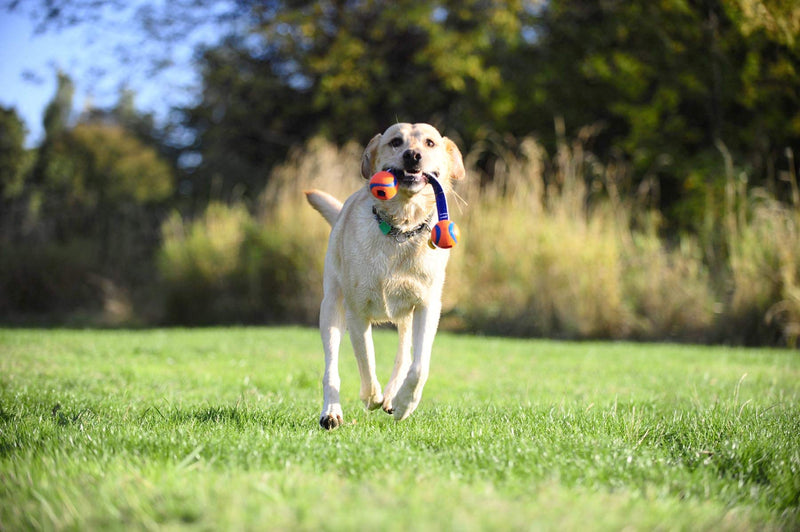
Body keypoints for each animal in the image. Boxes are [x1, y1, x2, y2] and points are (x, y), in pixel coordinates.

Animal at [308, 121, 468, 428]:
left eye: (430, 143)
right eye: (395, 142)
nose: (413, 155)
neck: (400, 229)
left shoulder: (427, 307)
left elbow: (419, 366)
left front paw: (405, 403)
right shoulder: (356, 311)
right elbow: (366, 359)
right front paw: (371, 397)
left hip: (406, 318)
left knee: (404, 357)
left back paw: (394, 396)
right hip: (331, 308)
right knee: (331, 368)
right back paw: (332, 412)